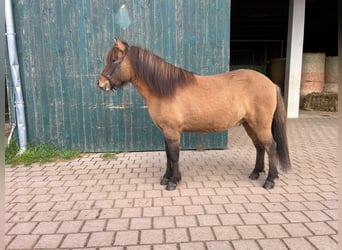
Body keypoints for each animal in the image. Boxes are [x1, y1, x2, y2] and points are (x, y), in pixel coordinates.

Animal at [97, 38, 290, 191]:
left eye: (114, 60)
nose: (100, 83)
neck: (165, 89)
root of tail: (270, 83)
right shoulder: (166, 131)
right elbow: (168, 154)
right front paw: (166, 177)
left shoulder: (172, 131)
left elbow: (174, 155)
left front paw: (173, 181)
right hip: (249, 124)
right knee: (259, 147)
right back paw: (255, 173)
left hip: (260, 125)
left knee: (271, 147)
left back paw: (270, 180)